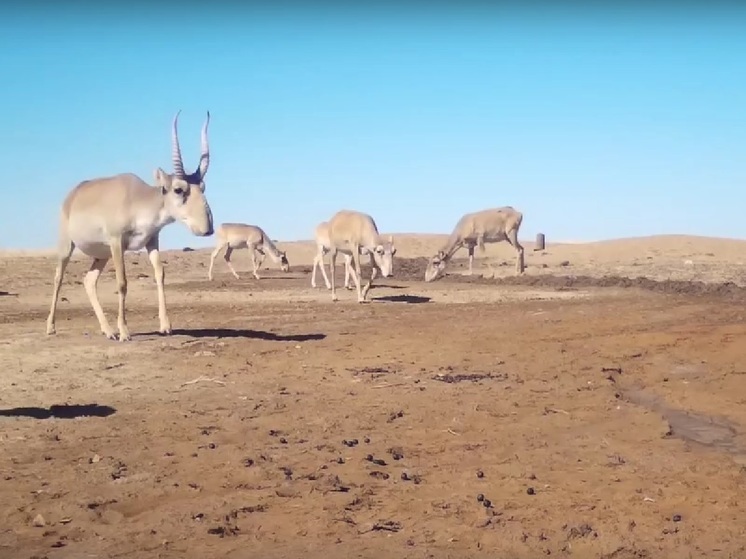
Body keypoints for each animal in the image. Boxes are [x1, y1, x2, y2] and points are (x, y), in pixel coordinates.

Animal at [46, 110, 214, 342]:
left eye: (203, 187)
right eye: (179, 189)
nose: (208, 228)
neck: (138, 200)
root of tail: (74, 193)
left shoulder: (151, 241)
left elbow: (160, 275)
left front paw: (165, 326)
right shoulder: (118, 243)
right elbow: (122, 282)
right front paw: (125, 332)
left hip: (102, 255)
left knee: (89, 281)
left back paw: (108, 331)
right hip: (68, 247)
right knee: (58, 278)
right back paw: (51, 327)